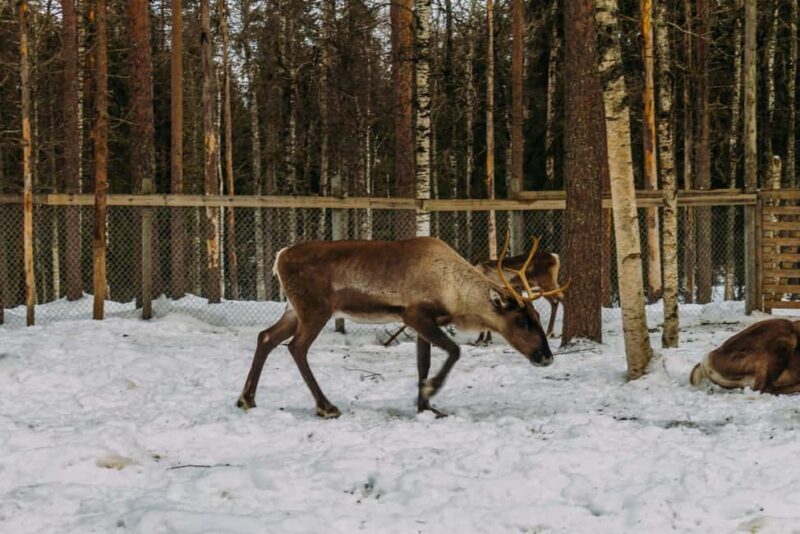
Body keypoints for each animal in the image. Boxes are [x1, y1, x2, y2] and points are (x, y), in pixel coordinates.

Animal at [236, 233, 567, 418]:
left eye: (537, 318)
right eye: (521, 320)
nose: (547, 357)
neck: (455, 292)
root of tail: (279, 257)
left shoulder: (425, 322)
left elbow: (424, 362)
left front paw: (426, 406)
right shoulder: (415, 315)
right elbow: (454, 351)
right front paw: (431, 390)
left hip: (294, 310)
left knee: (266, 337)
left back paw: (246, 399)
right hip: (315, 309)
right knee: (296, 347)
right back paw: (326, 407)